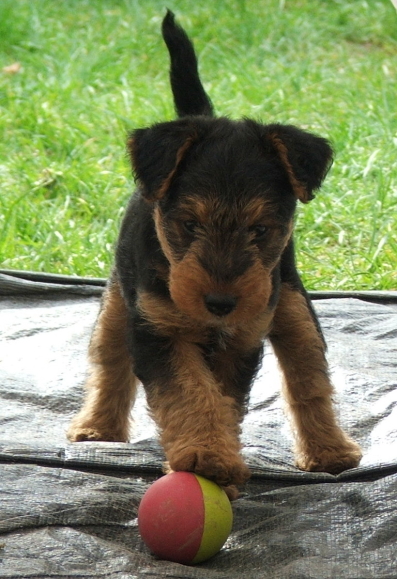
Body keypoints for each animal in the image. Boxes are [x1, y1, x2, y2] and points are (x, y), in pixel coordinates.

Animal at [67, 11, 358, 496]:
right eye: (189, 225)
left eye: (260, 230)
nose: (220, 303)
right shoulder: (157, 329)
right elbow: (190, 392)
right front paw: (206, 457)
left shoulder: (240, 339)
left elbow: (220, 399)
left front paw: (212, 460)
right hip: (118, 299)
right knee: (107, 357)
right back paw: (96, 428)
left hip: (289, 299)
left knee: (307, 373)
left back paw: (329, 450)